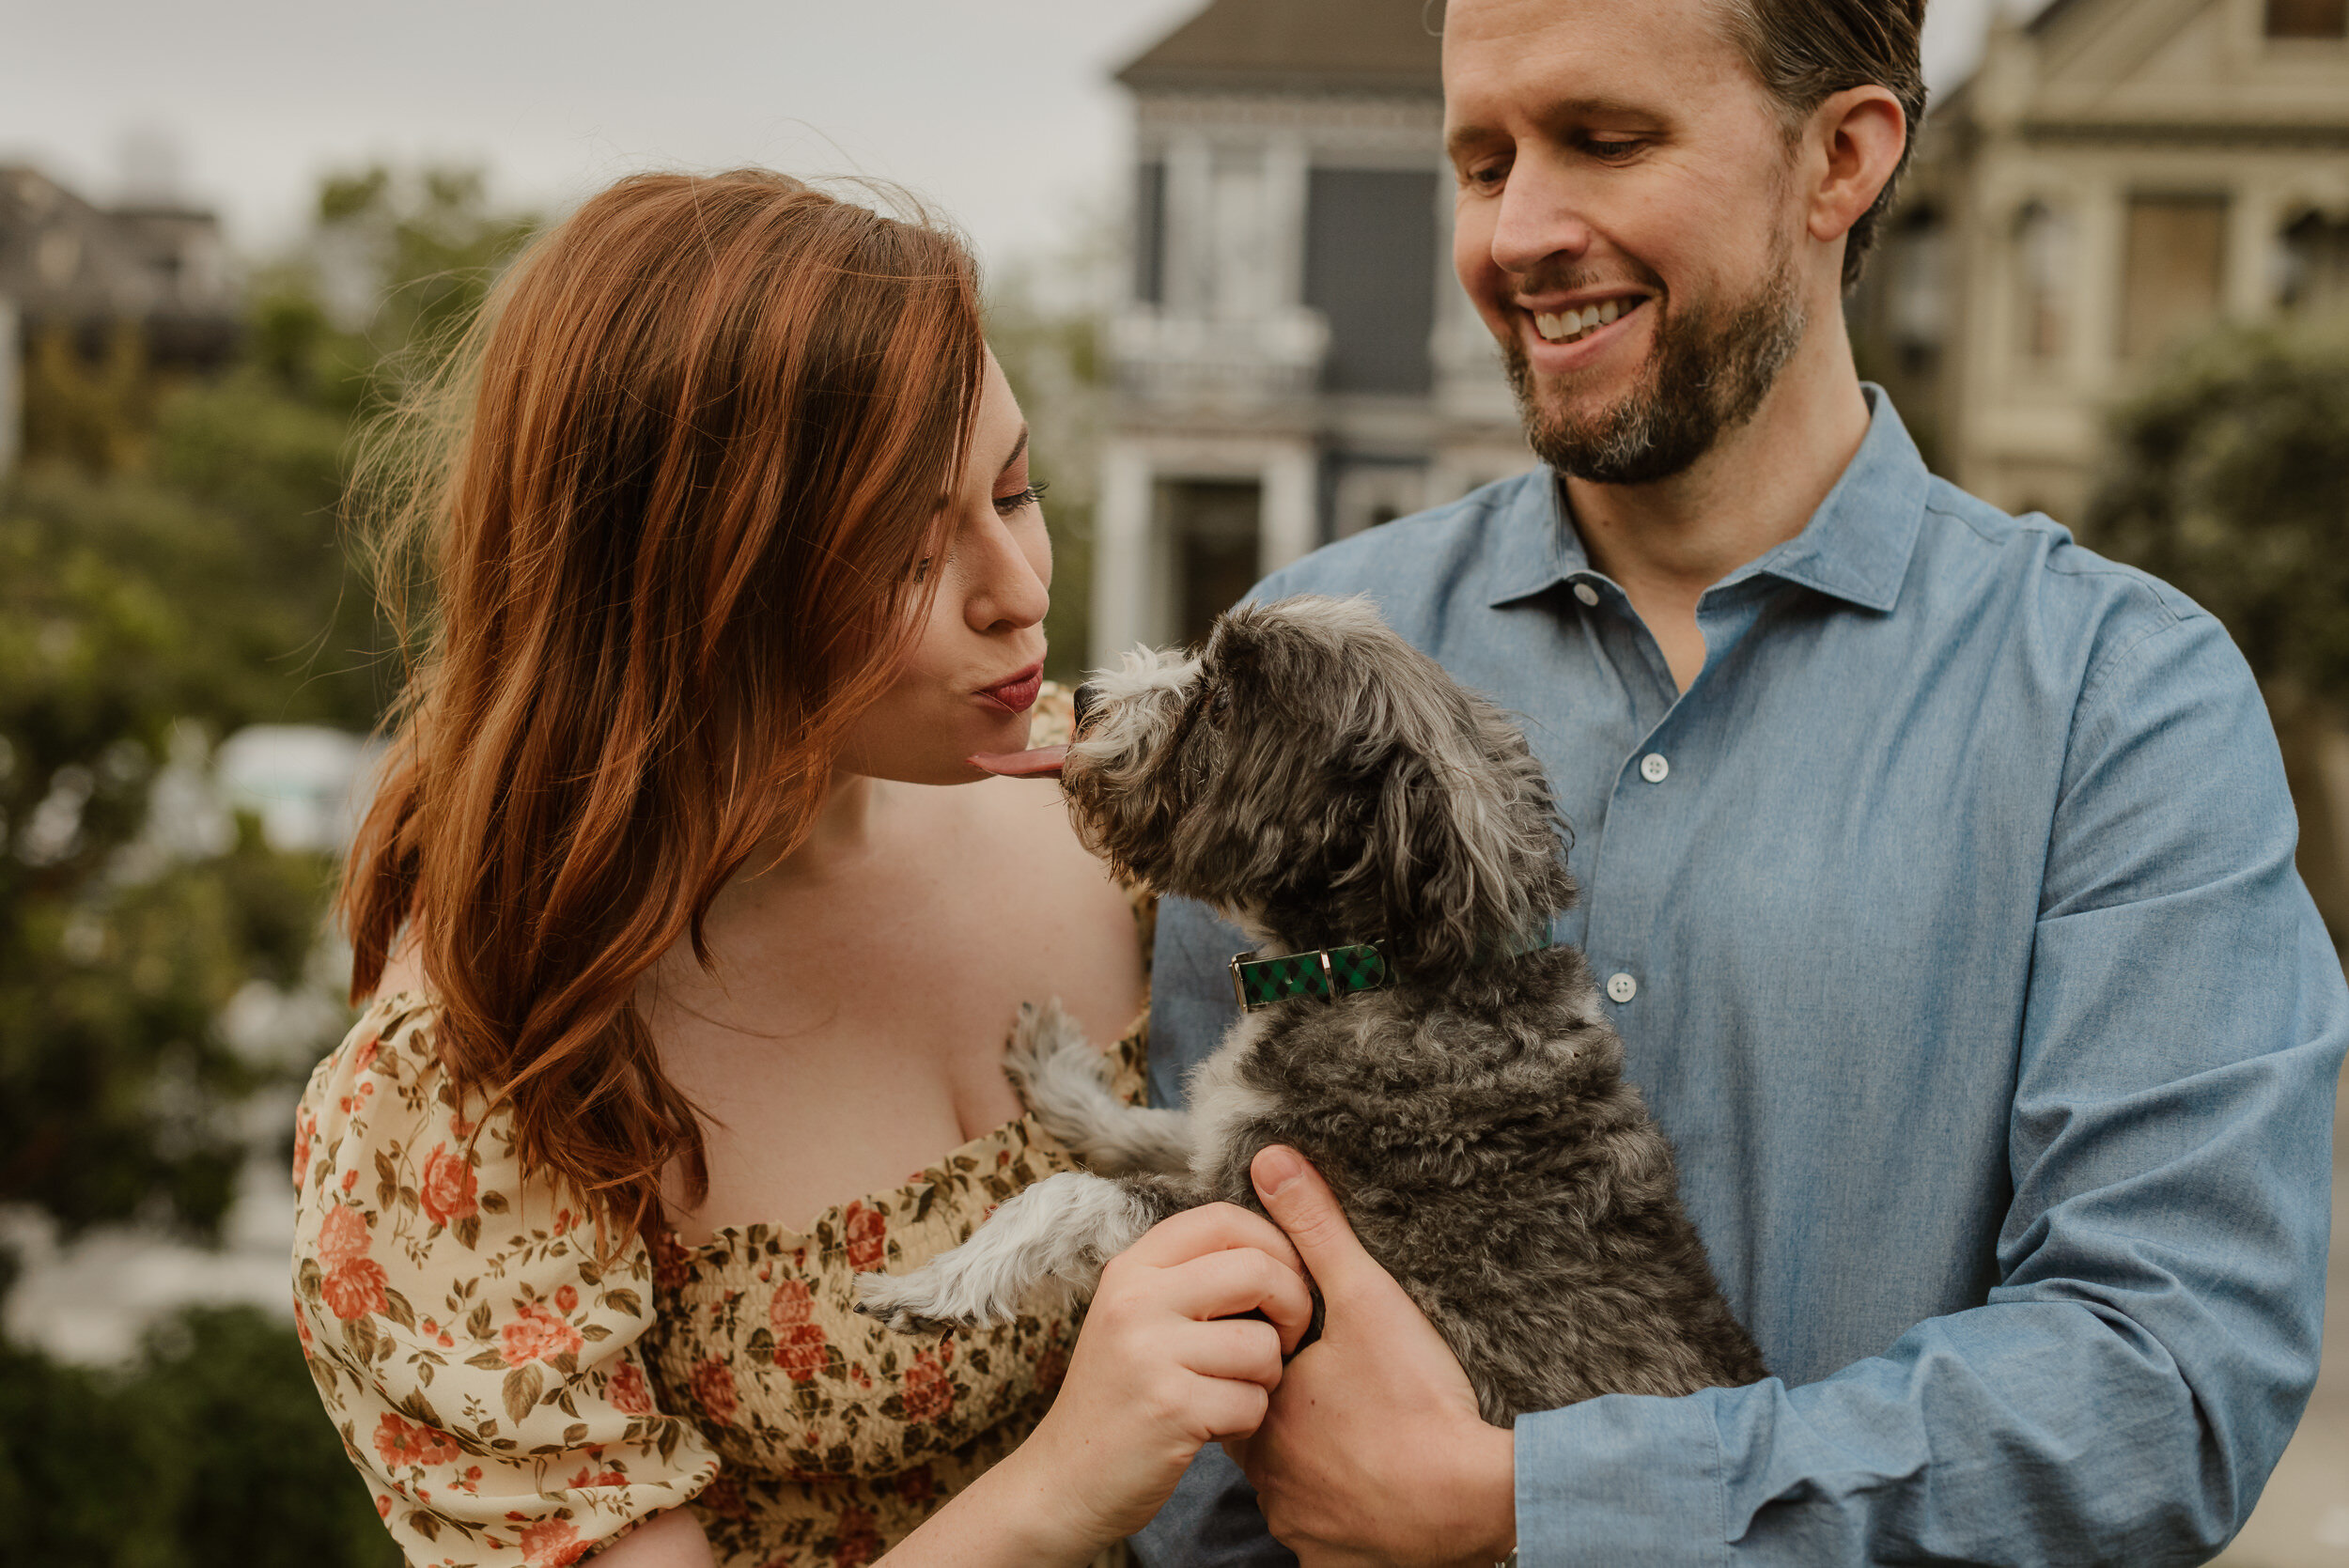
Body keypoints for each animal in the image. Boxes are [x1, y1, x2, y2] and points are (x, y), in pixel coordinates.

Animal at [860, 596, 1766, 1418]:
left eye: (1223, 703)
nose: (1085, 695)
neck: (1358, 973)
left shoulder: (1266, 1241)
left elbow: (1073, 1195)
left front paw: (930, 1284)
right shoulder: (1237, 1136)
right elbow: (1148, 1126)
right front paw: (1060, 1078)